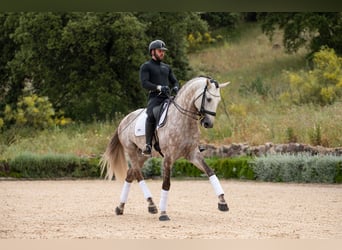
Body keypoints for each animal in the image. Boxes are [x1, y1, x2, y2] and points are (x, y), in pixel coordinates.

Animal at [100, 76, 231, 221]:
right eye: (208, 99)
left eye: (218, 100)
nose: (208, 123)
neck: (184, 120)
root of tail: (123, 120)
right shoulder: (168, 157)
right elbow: (166, 183)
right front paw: (163, 213)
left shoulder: (193, 154)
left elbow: (210, 172)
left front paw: (223, 202)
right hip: (131, 150)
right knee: (138, 175)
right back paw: (150, 205)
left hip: (143, 155)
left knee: (130, 174)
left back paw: (122, 207)